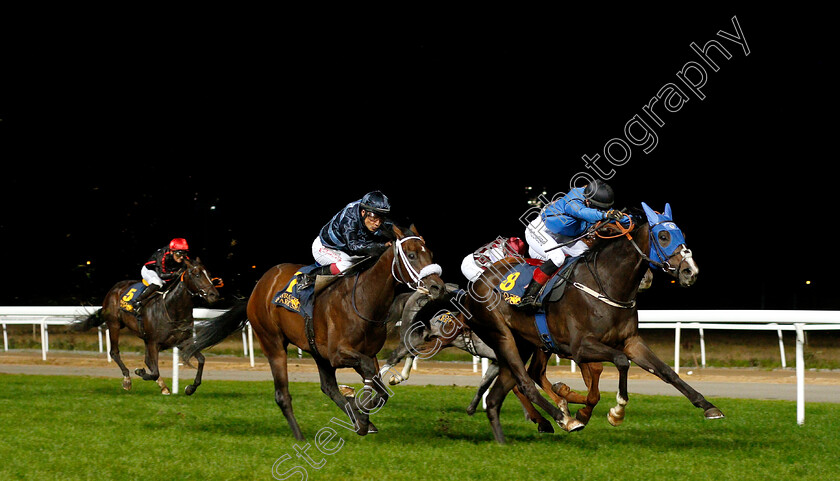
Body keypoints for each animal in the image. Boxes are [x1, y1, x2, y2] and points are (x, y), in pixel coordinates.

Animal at [450, 203, 720, 442]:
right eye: (663, 236)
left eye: (682, 234)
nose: (690, 271)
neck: (606, 285)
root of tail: (475, 285)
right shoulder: (580, 348)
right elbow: (619, 363)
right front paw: (615, 412)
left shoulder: (631, 342)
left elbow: (665, 371)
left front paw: (708, 406)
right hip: (503, 336)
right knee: (525, 382)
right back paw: (564, 419)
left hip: (523, 343)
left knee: (504, 391)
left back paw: (516, 433)